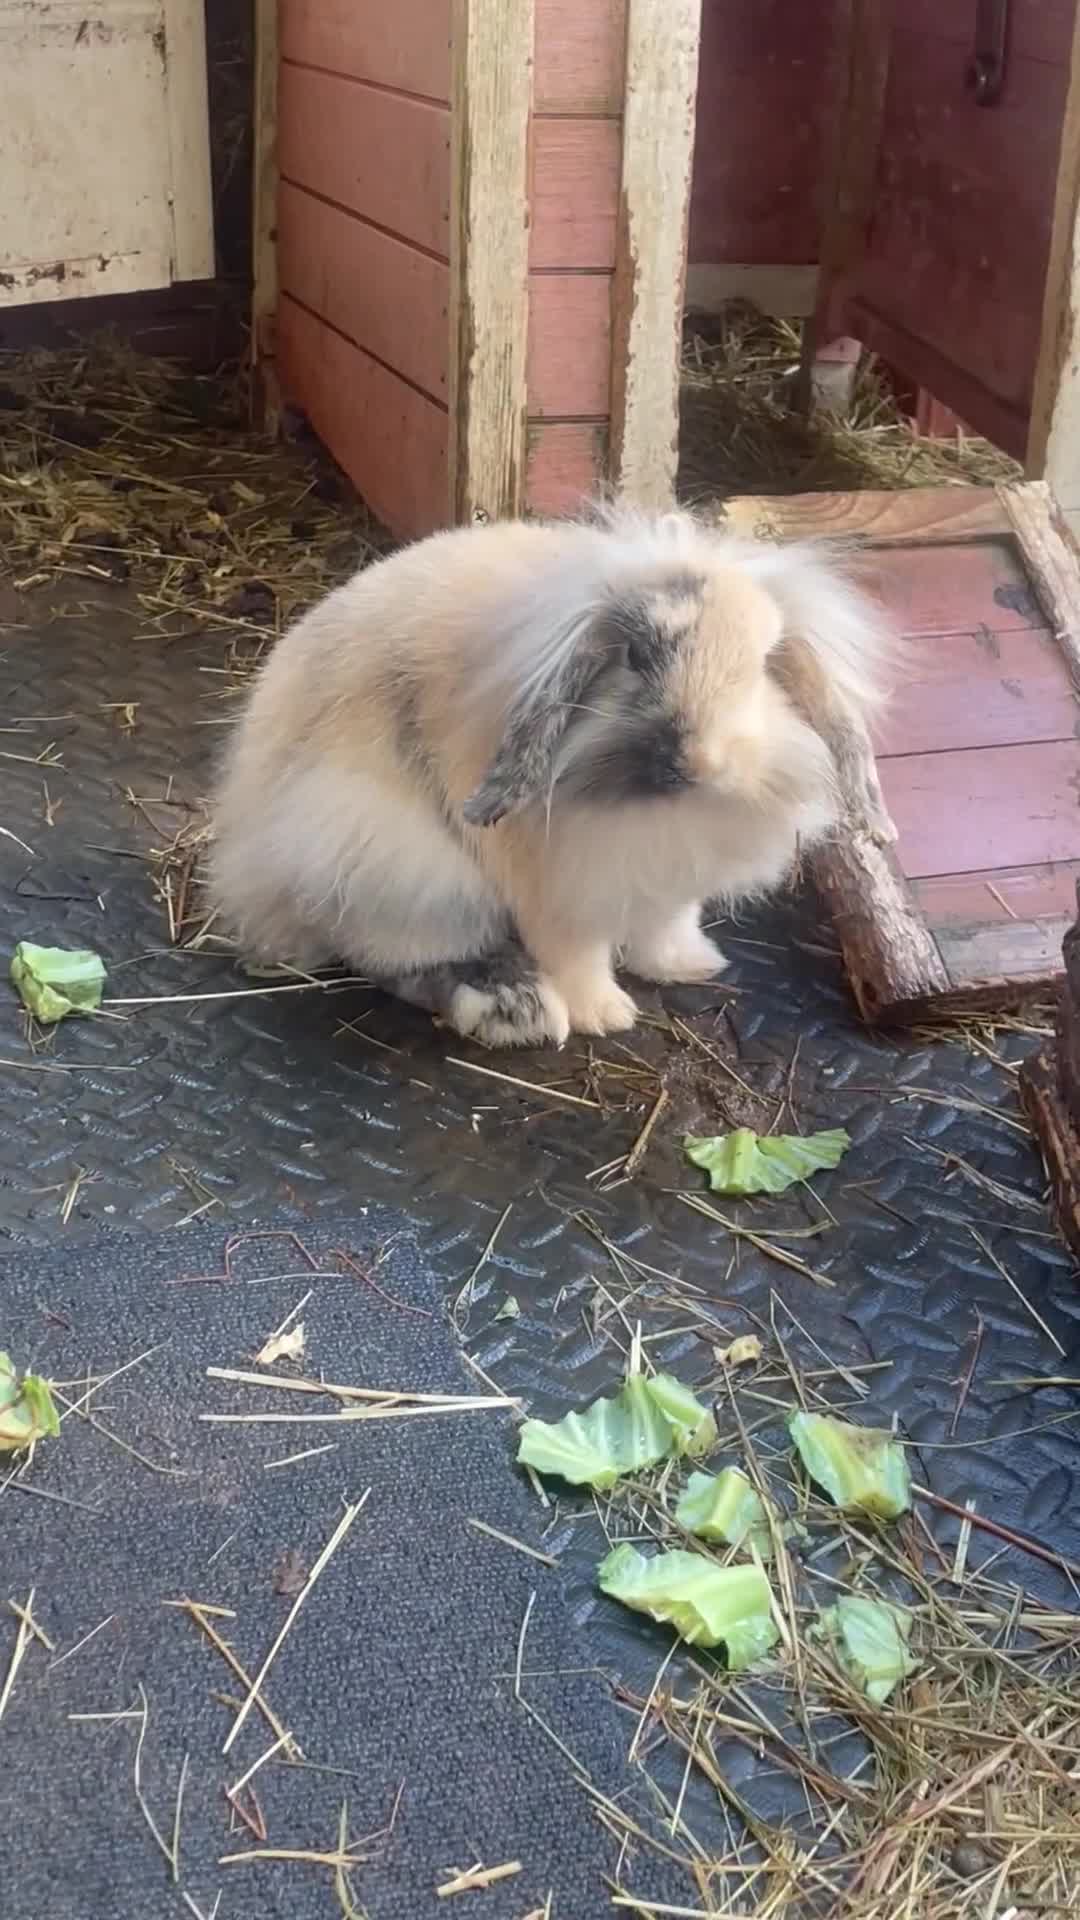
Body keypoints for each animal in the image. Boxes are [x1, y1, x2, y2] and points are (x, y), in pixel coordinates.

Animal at [209, 505, 892, 1050]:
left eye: (765, 665)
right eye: (636, 655)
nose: (698, 762)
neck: (662, 808)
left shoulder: (672, 887)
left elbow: (666, 925)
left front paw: (688, 966)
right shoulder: (560, 894)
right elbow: (576, 956)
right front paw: (606, 1016)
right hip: (391, 864)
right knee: (396, 959)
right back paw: (518, 1011)